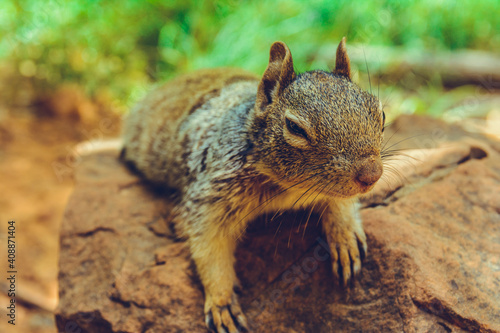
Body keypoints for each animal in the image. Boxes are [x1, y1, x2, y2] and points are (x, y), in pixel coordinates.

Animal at [120, 37, 382, 330]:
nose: (371, 175)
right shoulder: (209, 198)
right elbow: (209, 247)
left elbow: (342, 204)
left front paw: (345, 237)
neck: (288, 187)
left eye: (379, 112)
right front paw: (221, 302)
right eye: (295, 128)